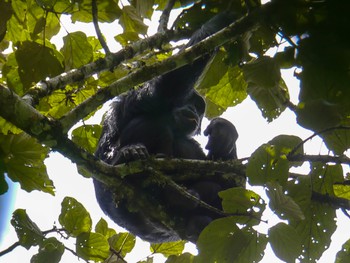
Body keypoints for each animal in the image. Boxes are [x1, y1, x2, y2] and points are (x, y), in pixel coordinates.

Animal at [94, 12, 239, 243]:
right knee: (155, 124)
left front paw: (224, 134)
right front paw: (223, 17)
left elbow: (231, 192)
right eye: (192, 102)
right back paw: (132, 157)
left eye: (200, 109)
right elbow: (172, 81)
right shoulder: (145, 97)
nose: (195, 111)